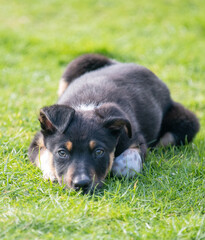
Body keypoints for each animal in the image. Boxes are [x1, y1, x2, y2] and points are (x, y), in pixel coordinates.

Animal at [28, 54, 199, 193]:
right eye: (62, 153)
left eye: (99, 152)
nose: (81, 185)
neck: (87, 106)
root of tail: (117, 62)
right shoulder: (37, 141)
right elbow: (45, 155)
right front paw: (52, 173)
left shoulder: (136, 140)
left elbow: (125, 164)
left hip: (186, 124)